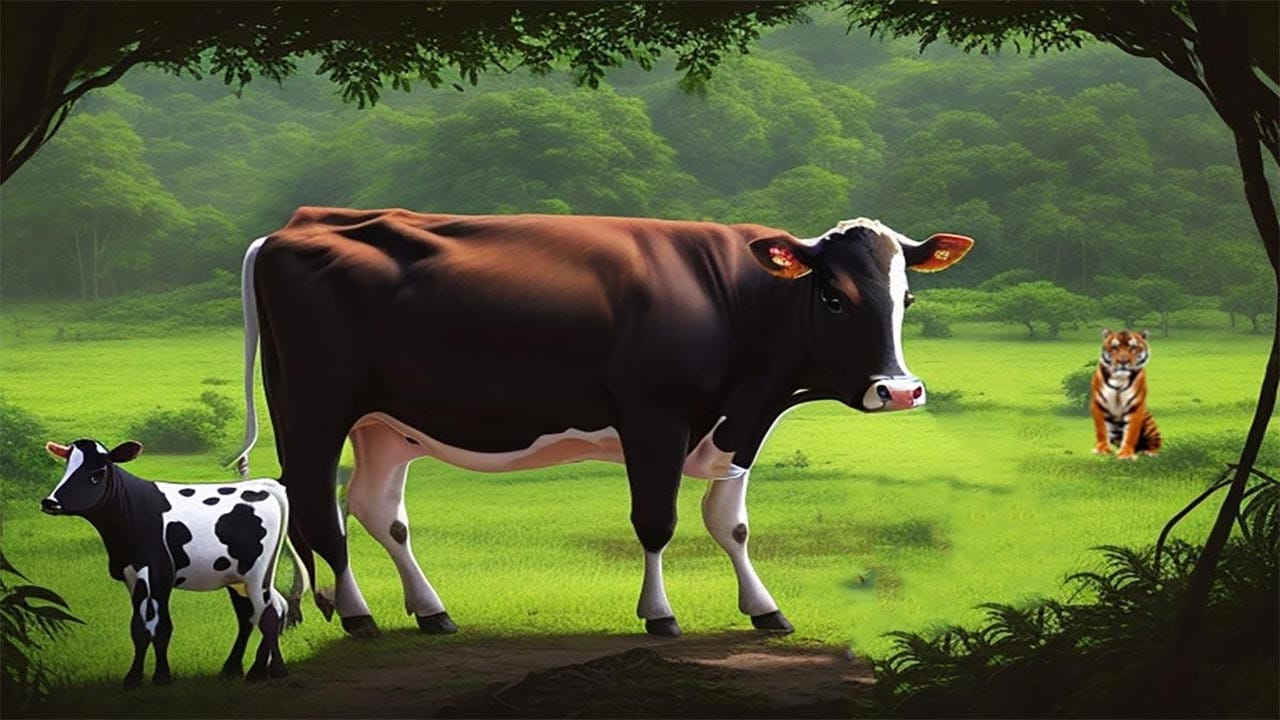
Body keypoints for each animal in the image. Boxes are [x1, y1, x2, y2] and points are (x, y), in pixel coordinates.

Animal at [42, 439, 303, 688]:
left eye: (97, 473)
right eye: (67, 468)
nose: (50, 502)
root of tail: (264, 485)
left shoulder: (160, 572)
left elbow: (160, 626)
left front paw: (160, 677)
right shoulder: (131, 574)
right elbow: (139, 627)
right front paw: (135, 677)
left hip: (257, 573)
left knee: (268, 614)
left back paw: (267, 671)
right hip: (238, 578)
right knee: (257, 614)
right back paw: (242, 669)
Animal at [228, 208, 972, 638]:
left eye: (906, 296)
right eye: (835, 297)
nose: (899, 391)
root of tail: (296, 226)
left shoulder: (738, 429)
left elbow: (729, 524)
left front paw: (765, 610)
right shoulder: (654, 417)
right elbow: (657, 522)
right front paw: (660, 616)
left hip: (386, 424)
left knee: (377, 509)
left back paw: (432, 611)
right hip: (313, 408)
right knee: (319, 508)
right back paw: (360, 617)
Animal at [1091, 329, 1161, 459]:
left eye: (1132, 347)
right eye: (1114, 347)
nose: (1123, 361)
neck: (1119, 379)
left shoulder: (1136, 405)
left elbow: (1131, 431)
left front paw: (1126, 454)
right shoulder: (1099, 402)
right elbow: (1101, 429)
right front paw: (1102, 450)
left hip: (1150, 423)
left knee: (1155, 442)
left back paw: (1148, 452)